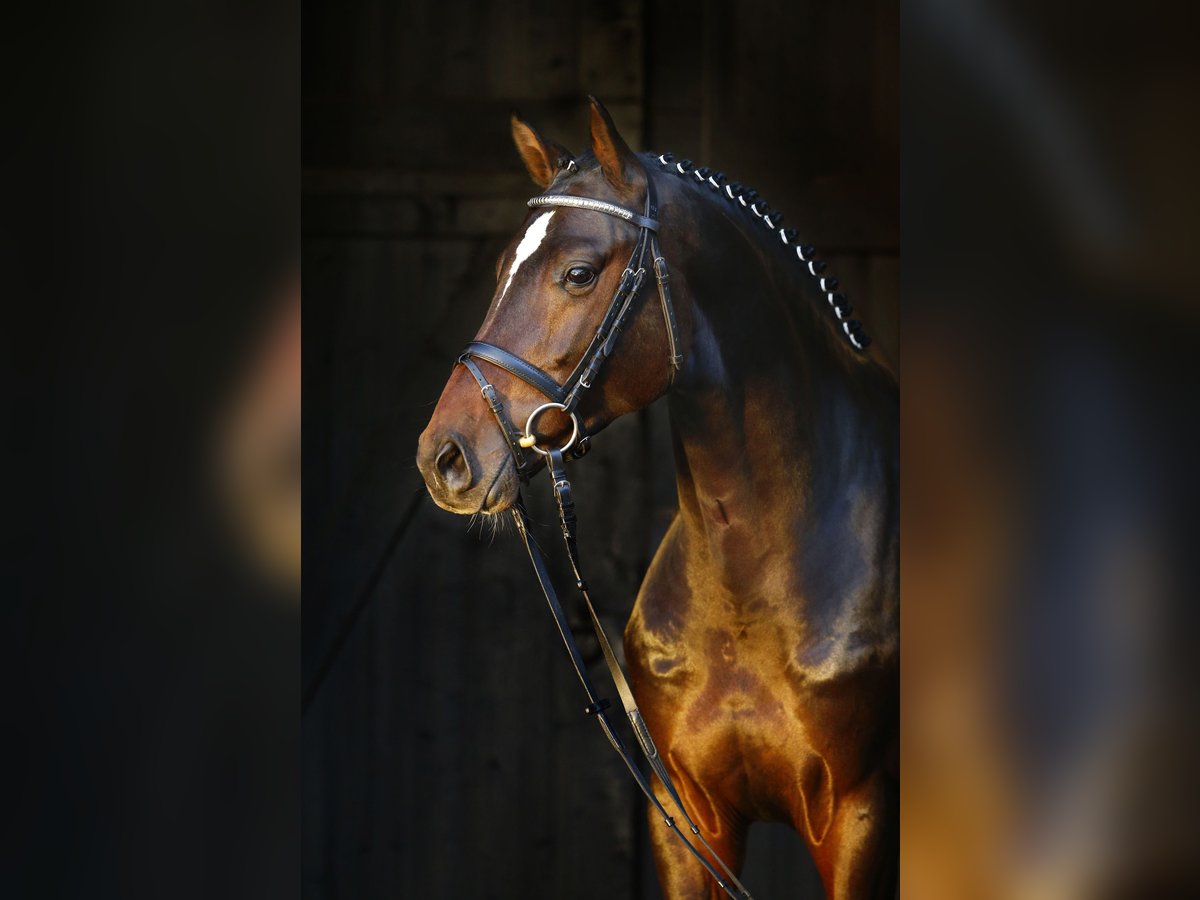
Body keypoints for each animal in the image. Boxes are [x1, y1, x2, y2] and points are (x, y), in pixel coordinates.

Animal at [416, 96, 898, 900]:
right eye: (502, 267)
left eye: (579, 273)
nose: (443, 458)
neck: (751, 583)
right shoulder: (689, 825)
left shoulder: (860, 820)